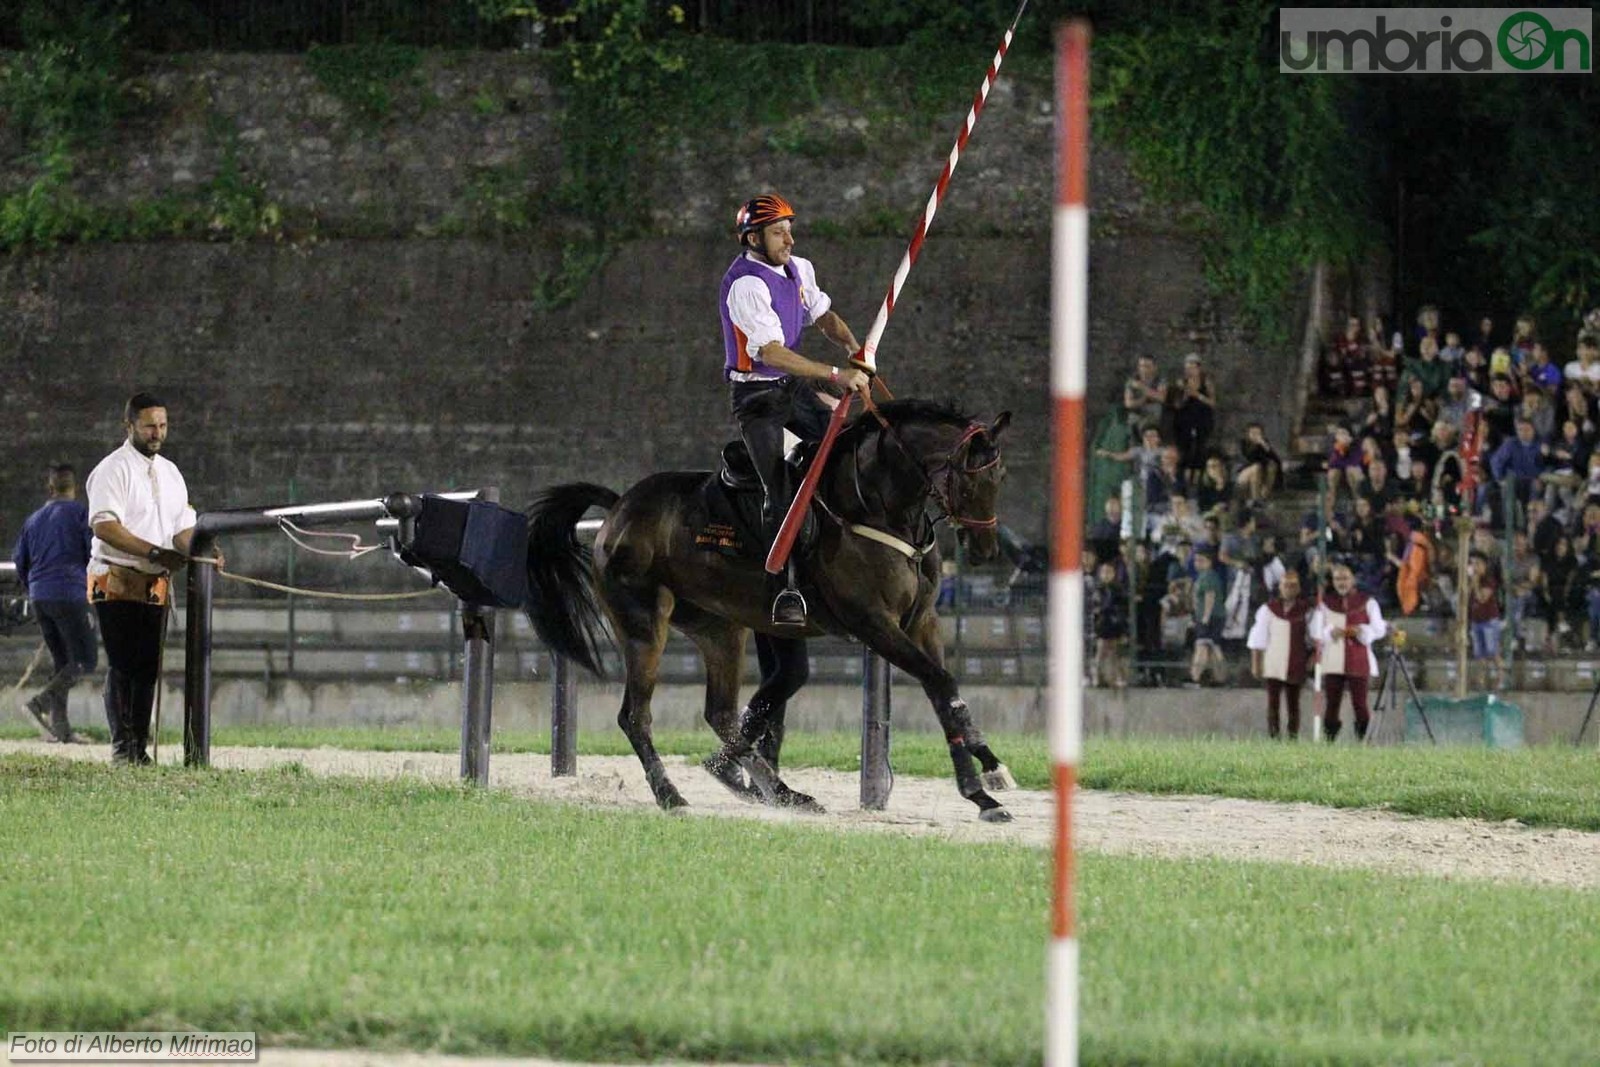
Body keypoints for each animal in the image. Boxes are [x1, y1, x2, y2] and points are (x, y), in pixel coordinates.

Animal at [531, 399, 1017, 825]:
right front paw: (988, 772)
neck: (874, 508)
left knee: (722, 713)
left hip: (721, 629)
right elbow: (942, 683)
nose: (985, 549)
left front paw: (981, 788)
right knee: (636, 715)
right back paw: (672, 795)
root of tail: (620, 509)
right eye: (969, 480)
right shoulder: (875, 625)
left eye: (1001, 476)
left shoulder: (922, 624)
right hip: (644, 626)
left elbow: (943, 692)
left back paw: (780, 791)